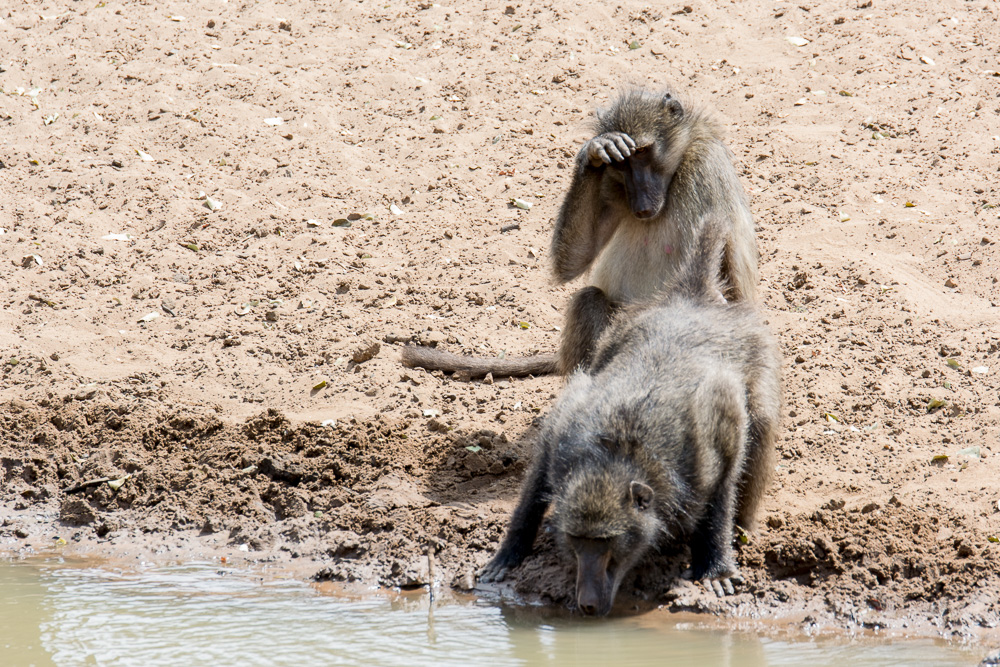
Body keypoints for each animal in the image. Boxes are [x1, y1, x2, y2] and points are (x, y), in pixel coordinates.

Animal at [401, 87, 758, 378]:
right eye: (622, 163)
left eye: (643, 152)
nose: (642, 204)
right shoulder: (612, 187)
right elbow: (572, 263)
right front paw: (594, 153)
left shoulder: (705, 169)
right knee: (589, 299)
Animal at [477, 231, 780, 615]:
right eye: (578, 539)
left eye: (607, 541)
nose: (588, 604)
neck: (620, 454)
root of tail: (692, 299)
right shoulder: (563, 436)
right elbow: (538, 475)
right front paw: (510, 551)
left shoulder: (714, 429)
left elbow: (725, 479)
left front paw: (715, 566)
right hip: (617, 331)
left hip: (756, 351)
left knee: (762, 420)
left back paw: (741, 528)